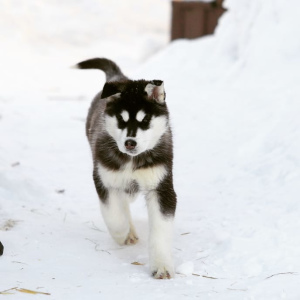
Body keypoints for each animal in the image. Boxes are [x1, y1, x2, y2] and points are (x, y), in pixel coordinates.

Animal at [76, 58, 177, 278]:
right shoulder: (104, 179)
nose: (130, 143)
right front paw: (122, 233)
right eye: (121, 119)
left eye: (145, 120)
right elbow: (114, 214)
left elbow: (160, 231)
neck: (132, 161)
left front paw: (161, 266)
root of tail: (118, 77)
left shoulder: (161, 187)